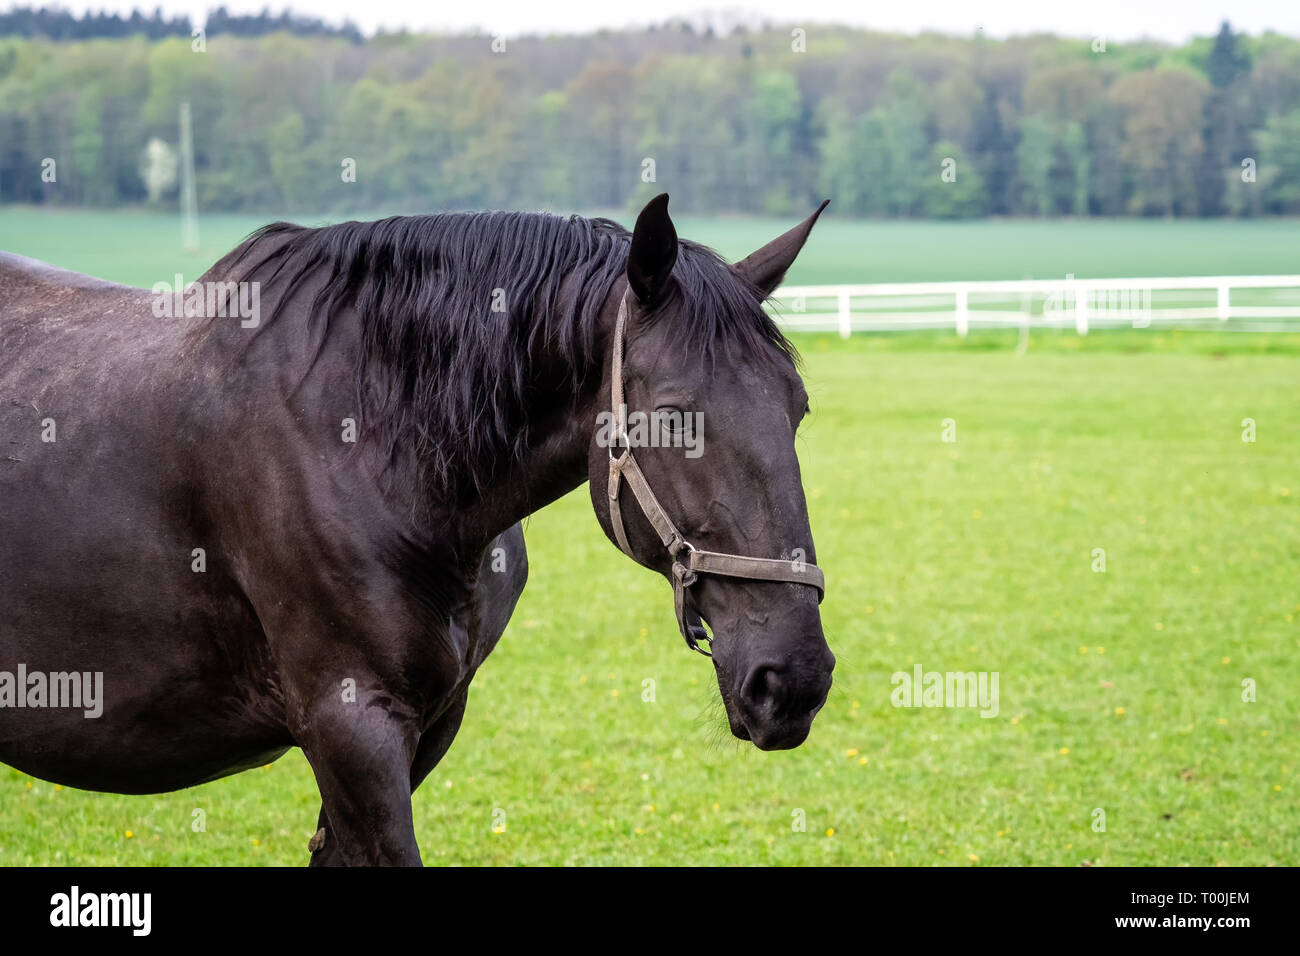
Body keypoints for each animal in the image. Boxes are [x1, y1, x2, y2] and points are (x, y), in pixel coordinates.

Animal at [0, 193, 834, 865]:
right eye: (675, 417)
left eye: (798, 407)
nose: (794, 680)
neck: (366, 442)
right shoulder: (351, 728)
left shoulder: (429, 725)